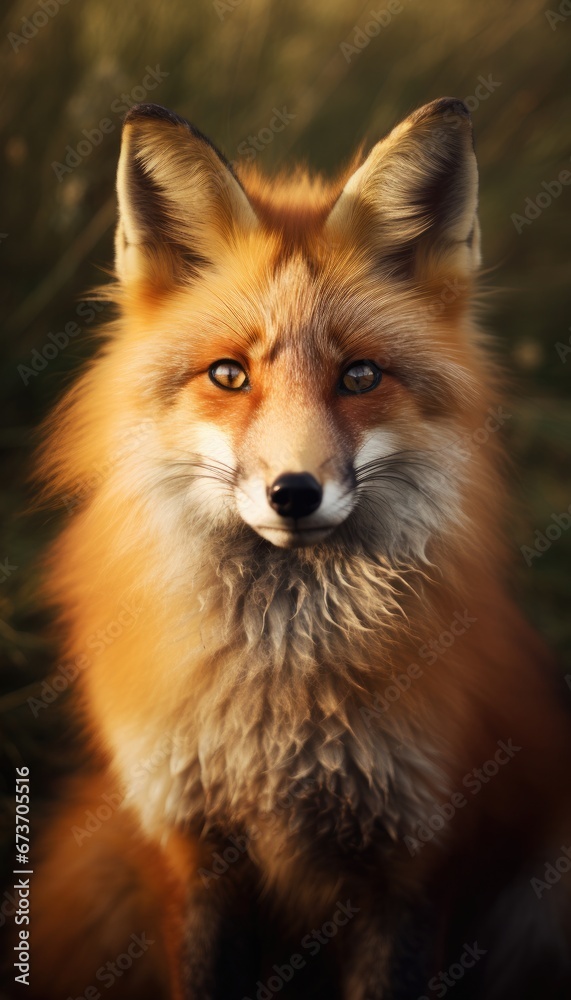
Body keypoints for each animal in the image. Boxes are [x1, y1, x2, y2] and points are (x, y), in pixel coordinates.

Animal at [17, 98, 571, 999]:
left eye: (359, 376)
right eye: (228, 375)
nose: (294, 493)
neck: (278, 718)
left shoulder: (413, 858)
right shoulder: (193, 848)